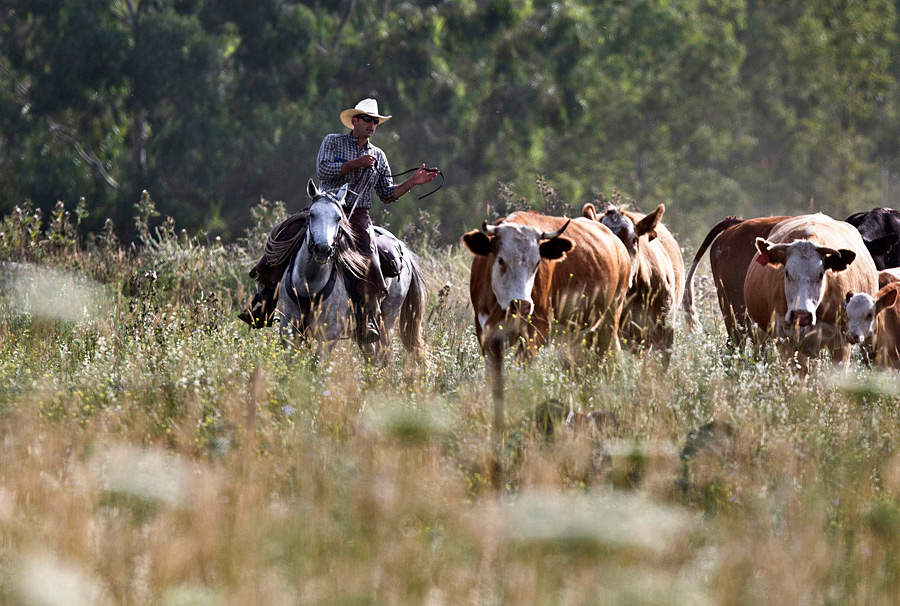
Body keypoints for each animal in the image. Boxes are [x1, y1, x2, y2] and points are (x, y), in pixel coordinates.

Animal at [278, 180, 426, 356]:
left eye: (338, 218)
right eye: (311, 214)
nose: (323, 249)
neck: (310, 284)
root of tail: (404, 251)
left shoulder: (328, 337)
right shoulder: (289, 331)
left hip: (388, 320)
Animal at [464, 211, 624, 430]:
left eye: (537, 263)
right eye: (501, 260)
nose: (521, 304)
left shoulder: (534, 333)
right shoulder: (487, 337)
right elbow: (495, 384)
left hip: (608, 322)